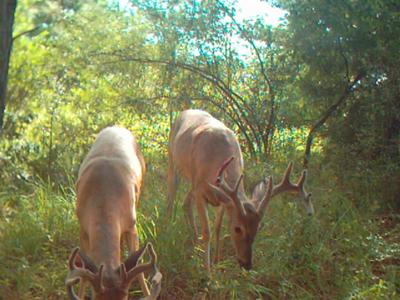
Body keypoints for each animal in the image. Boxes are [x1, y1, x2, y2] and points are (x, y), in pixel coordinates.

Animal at [65, 126, 161, 300]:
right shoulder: (83, 227)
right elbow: (84, 273)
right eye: (97, 299)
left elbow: (138, 266)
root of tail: (117, 127)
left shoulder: (132, 225)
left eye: (125, 297)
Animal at [166, 109, 312, 270]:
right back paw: (166, 230)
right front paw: (207, 271)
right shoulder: (200, 192)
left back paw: (194, 241)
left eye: (258, 228)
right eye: (237, 228)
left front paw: (216, 262)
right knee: (170, 199)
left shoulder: (220, 198)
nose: (246, 264)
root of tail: (185, 111)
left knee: (185, 203)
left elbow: (217, 228)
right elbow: (207, 232)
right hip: (173, 161)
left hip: (192, 181)